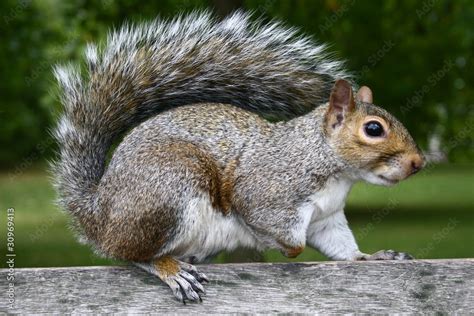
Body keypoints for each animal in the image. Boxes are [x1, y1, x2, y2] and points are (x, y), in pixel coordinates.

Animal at [53, 11, 424, 302]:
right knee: (126, 251)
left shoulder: (326, 219)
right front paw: (284, 248)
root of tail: (98, 212)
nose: (418, 163)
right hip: (170, 185)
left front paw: (373, 257)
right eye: (373, 129)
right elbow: (278, 231)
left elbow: (342, 248)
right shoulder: (266, 193)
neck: (327, 165)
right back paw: (170, 267)